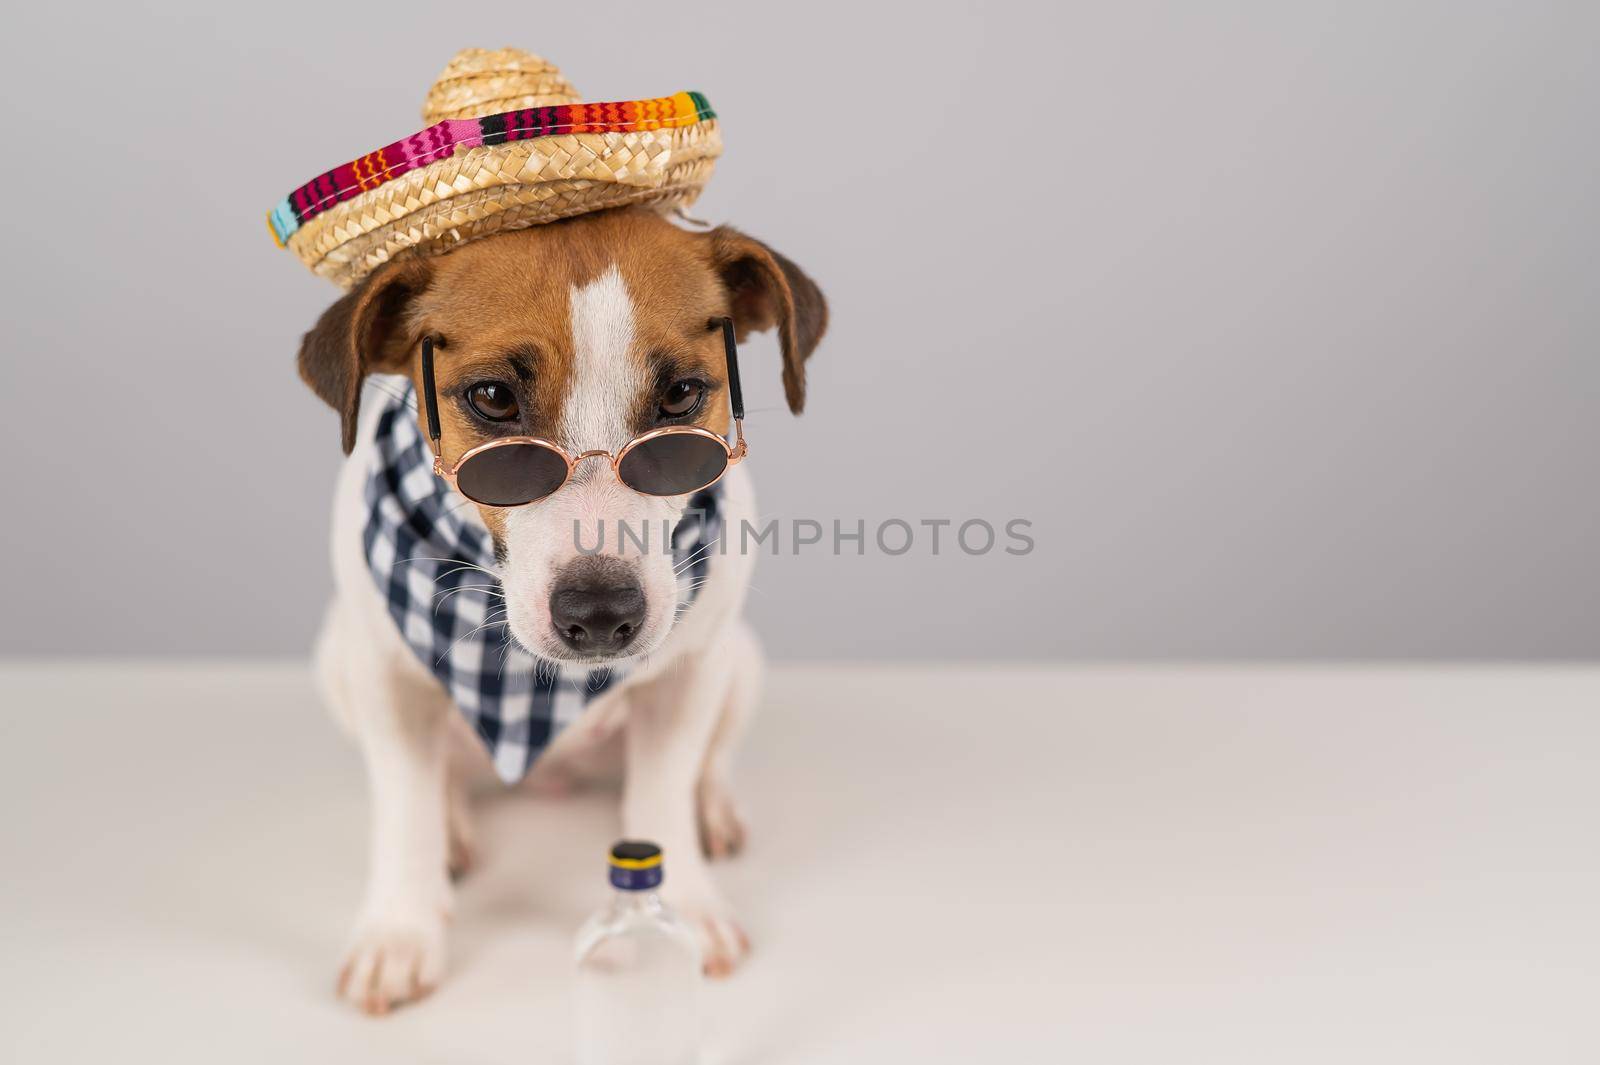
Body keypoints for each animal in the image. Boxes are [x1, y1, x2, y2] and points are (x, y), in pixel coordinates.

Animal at [296, 203, 832, 1010]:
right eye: (492, 399)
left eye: (682, 395)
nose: (603, 614)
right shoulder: (384, 674)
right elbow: (405, 803)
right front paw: (400, 930)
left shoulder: (688, 676)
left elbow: (663, 789)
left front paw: (685, 907)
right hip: (337, 662)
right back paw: (453, 825)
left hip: (739, 661)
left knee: (708, 760)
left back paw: (712, 809)